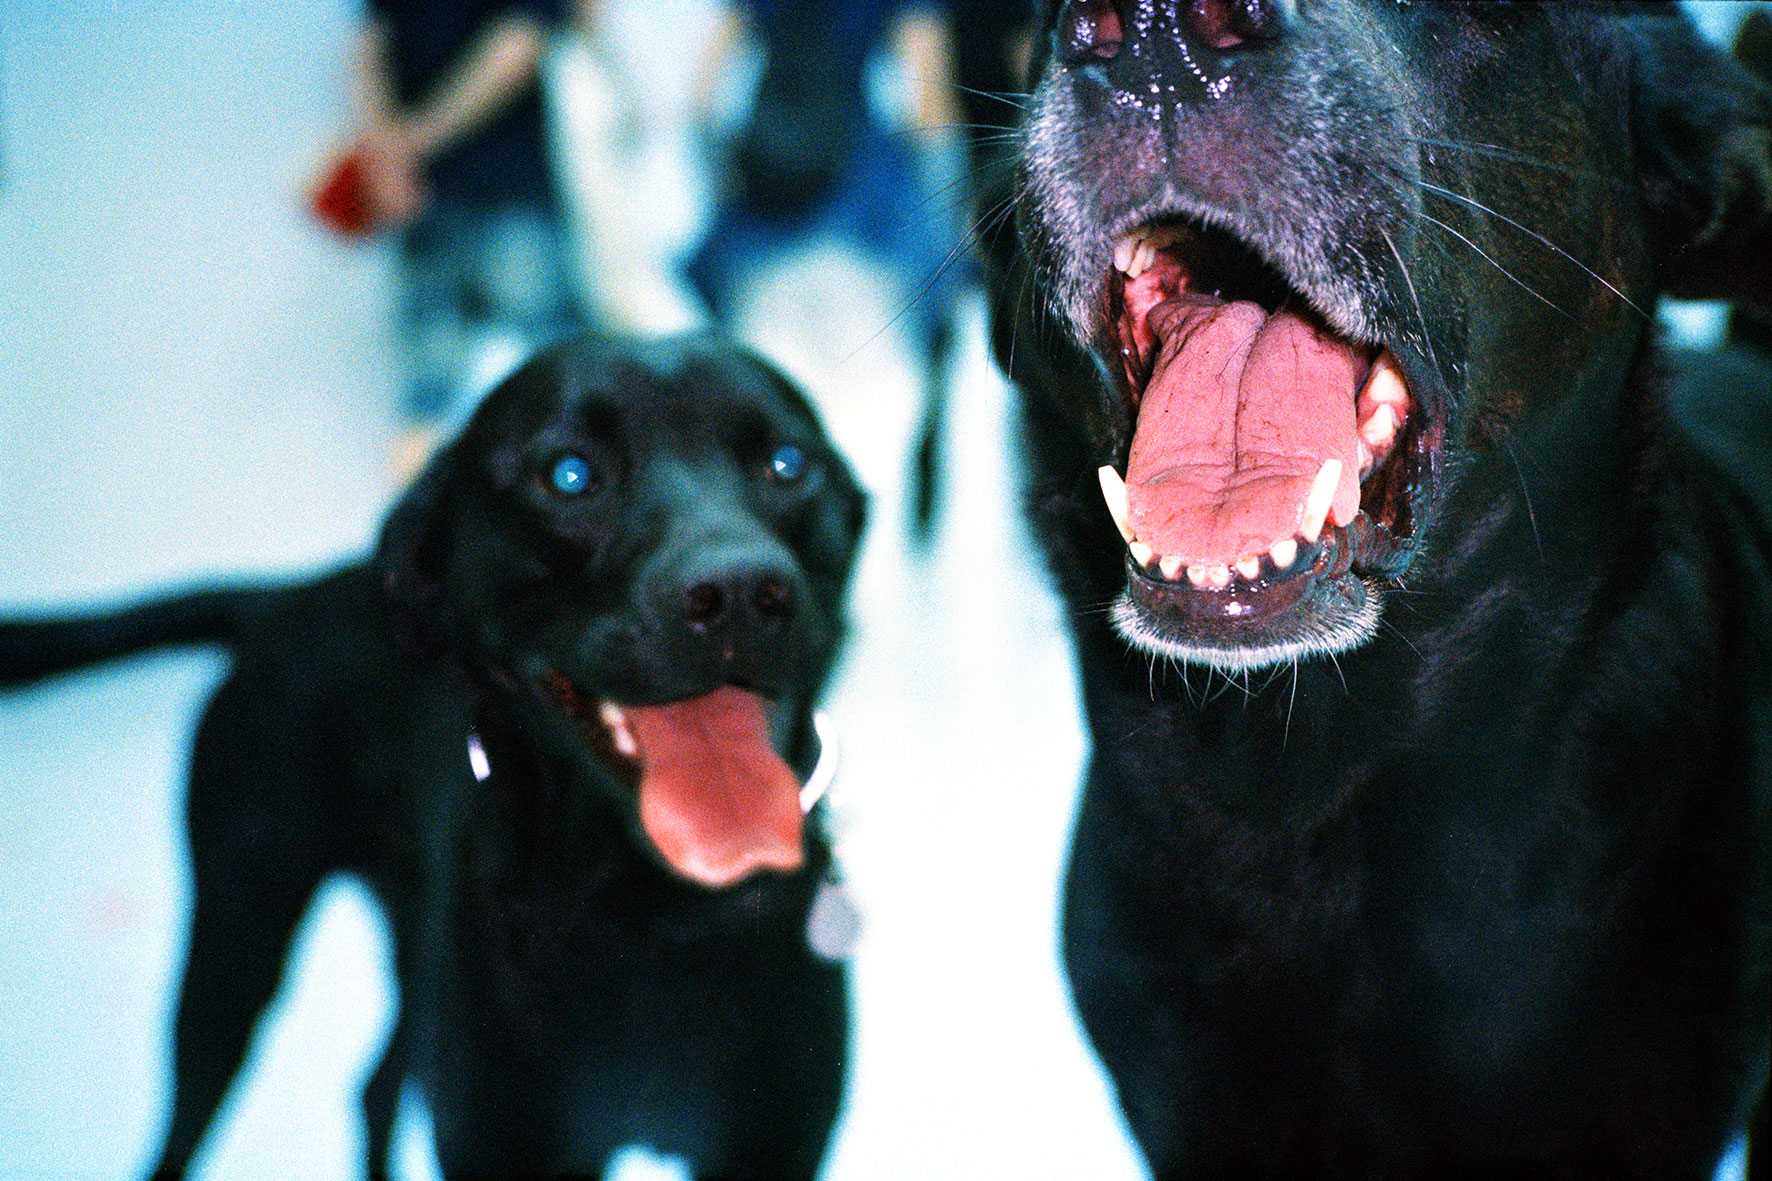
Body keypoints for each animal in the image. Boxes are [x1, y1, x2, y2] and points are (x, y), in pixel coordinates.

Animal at [0, 330, 868, 1178]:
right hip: (236, 934)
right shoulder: (505, 1143)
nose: (740, 592)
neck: (656, 919)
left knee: (377, 1084)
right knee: (190, 1123)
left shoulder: (773, 1146)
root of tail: (285, 597)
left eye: (788, 463)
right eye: (570, 474)